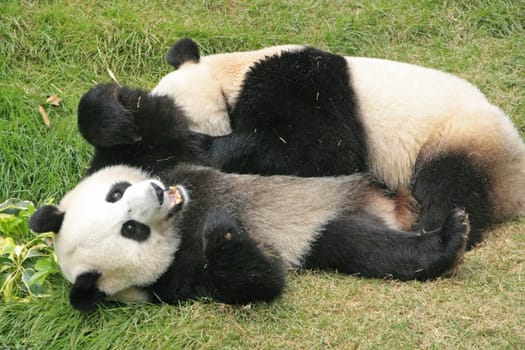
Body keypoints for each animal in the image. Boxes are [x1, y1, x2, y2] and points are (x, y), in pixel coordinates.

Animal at [29, 163, 466, 310]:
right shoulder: (174, 284)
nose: (156, 192)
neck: (184, 221)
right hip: (325, 231)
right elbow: (260, 282)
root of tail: (391, 212)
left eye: (115, 194)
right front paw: (226, 236)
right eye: (131, 230)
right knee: (363, 246)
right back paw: (450, 238)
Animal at [78, 39, 524, 250]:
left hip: (457, 137)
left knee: (450, 183)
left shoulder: (301, 83)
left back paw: (436, 225)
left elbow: (326, 149)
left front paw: (202, 144)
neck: (228, 77)